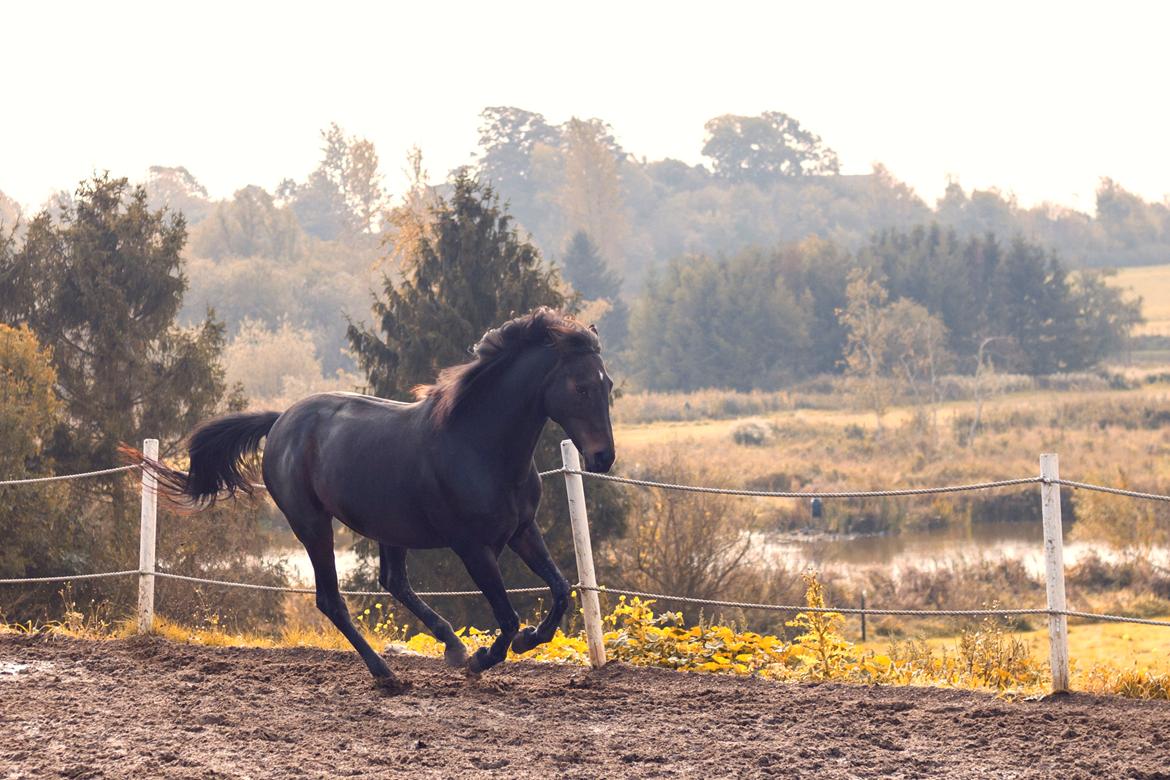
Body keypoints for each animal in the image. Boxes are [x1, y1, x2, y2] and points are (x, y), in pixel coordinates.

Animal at [142, 308, 617, 687]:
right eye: (579, 387)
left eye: (607, 384)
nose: (603, 457)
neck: (479, 445)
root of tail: (280, 421)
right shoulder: (473, 548)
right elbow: (506, 615)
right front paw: (485, 657)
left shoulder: (522, 531)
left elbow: (560, 590)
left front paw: (526, 640)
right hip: (313, 524)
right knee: (331, 599)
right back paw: (387, 673)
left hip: (388, 527)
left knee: (393, 581)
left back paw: (450, 646)